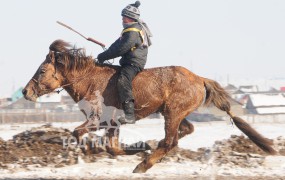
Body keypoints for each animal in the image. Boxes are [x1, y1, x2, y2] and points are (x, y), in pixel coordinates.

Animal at [22, 39, 276, 173]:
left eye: (42, 70)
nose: (26, 92)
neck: (91, 80)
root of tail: (199, 78)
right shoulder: (112, 123)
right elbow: (112, 148)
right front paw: (139, 146)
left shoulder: (99, 120)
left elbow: (79, 133)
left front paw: (139, 149)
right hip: (173, 112)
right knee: (184, 131)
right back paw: (150, 156)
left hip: (173, 112)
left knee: (170, 141)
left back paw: (144, 164)